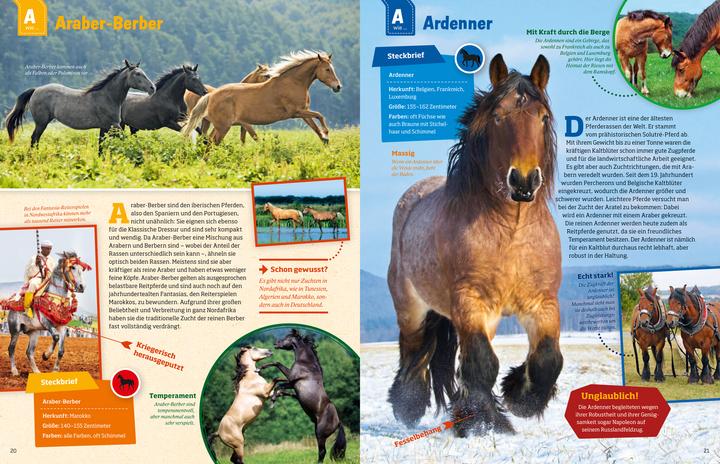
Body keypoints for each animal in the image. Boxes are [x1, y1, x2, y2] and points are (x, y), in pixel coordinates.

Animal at [4, 60, 154, 151]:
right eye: (137, 74)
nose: (152, 88)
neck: (108, 97)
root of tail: (36, 90)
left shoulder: (105, 127)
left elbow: (101, 146)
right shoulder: (113, 125)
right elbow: (124, 140)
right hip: (41, 123)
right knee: (34, 139)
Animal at [182, 50, 341, 145]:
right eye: (327, 69)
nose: (338, 86)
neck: (293, 82)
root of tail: (211, 95)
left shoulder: (303, 112)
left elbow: (315, 126)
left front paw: (325, 140)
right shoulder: (296, 112)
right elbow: (320, 115)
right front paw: (327, 134)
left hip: (218, 125)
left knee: (208, 141)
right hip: (222, 126)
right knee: (211, 143)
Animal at [259, 330, 346, 463]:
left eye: (287, 338)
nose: (275, 343)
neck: (306, 363)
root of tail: (338, 422)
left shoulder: (291, 380)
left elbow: (279, 383)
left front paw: (273, 400)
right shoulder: (294, 389)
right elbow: (278, 371)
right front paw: (260, 369)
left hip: (320, 435)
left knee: (322, 451)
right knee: (321, 451)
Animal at [386, 54, 561, 436]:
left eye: (542, 118)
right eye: (498, 117)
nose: (523, 181)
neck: (511, 233)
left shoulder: (542, 303)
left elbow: (547, 359)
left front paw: (518, 399)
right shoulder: (471, 302)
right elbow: (481, 363)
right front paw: (484, 422)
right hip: (412, 308)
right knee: (413, 351)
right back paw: (407, 407)